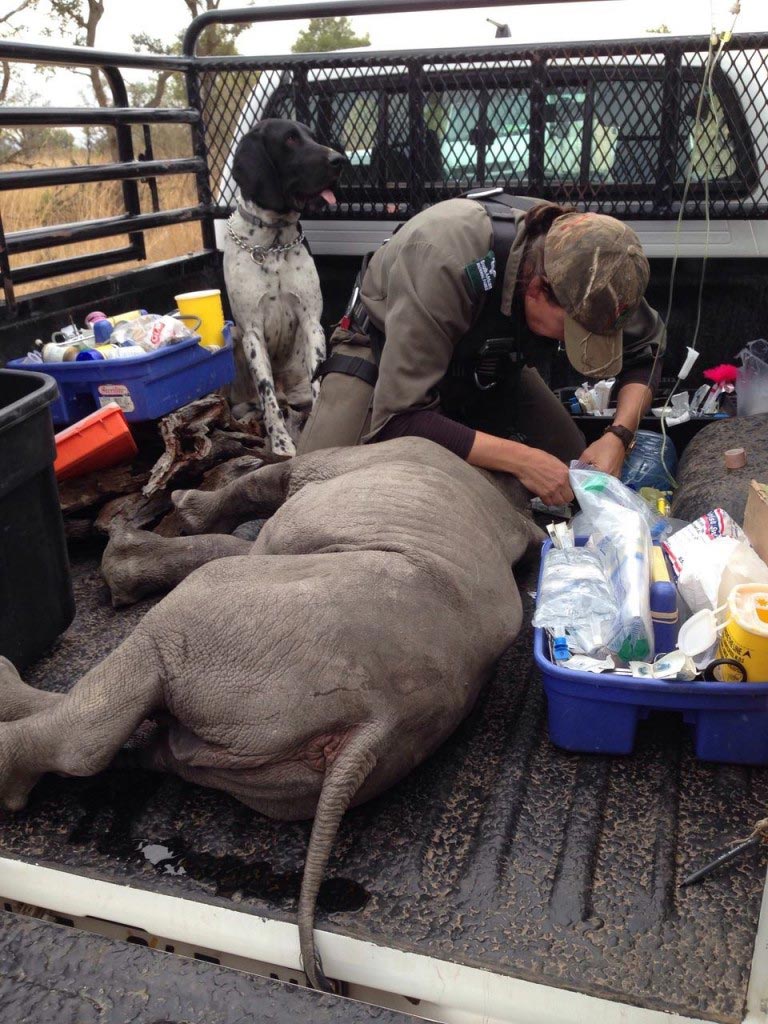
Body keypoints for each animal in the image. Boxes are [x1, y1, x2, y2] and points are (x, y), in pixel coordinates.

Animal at [0, 440, 540, 991]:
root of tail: (376, 723)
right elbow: (227, 536)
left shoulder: (312, 476)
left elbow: (247, 498)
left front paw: (181, 510)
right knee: (169, 747)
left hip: (254, 624)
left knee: (133, 678)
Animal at [224, 118, 348, 456]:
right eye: (290, 139)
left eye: (313, 136)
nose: (340, 161)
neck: (274, 244)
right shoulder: (252, 333)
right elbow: (265, 393)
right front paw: (280, 441)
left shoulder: (312, 322)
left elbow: (319, 380)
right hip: (234, 338)